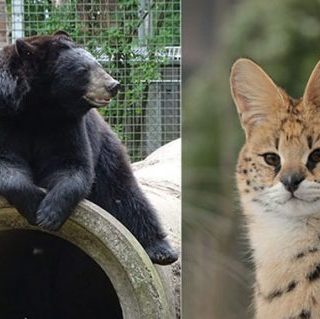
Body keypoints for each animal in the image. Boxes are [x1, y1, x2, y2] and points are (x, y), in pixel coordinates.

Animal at [0, 30, 176, 264]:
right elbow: (7, 163)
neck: (39, 108)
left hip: (105, 149)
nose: (113, 85)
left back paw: (161, 249)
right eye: (82, 70)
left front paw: (48, 213)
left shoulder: (66, 125)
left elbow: (72, 164)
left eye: (97, 63)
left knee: (123, 192)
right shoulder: (7, 117)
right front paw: (33, 201)